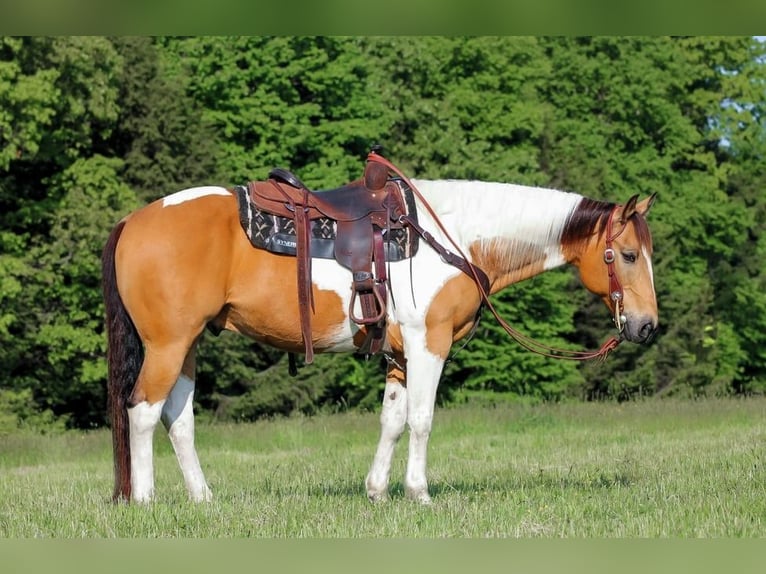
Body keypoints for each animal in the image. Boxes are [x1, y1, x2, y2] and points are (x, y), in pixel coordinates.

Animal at [102, 158, 658, 504]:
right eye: (629, 255)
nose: (647, 327)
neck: (456, 235)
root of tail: (133, 220)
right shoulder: (428, 343)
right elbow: (421, 420)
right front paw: (418, 492)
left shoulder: (399, 354)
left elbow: (391, 421)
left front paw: (376, 490)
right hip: (168, 344)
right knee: (143, 411)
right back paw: (146, 499)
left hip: (189, 345)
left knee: (178, 419)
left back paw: (203, 498)